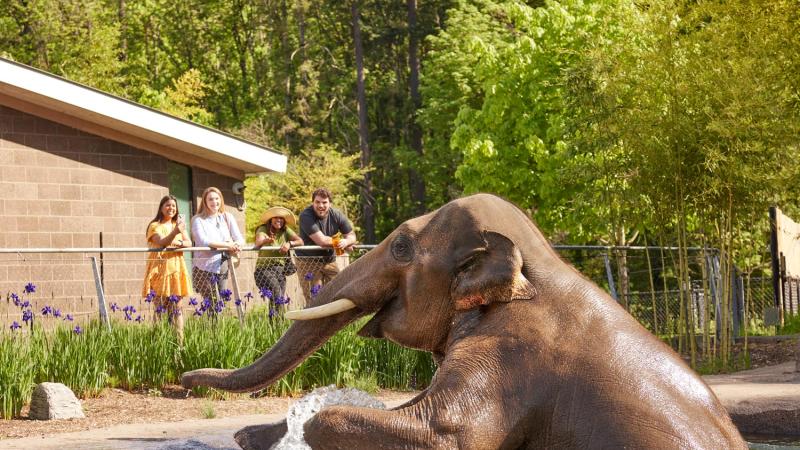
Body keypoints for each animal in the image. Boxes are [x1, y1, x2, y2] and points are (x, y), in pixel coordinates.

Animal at [181, 194, 744, 450]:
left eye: (401, 246)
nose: (185, 380)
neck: (539, 266)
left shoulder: (510, 356)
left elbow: (446, 432)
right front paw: (252, 433)